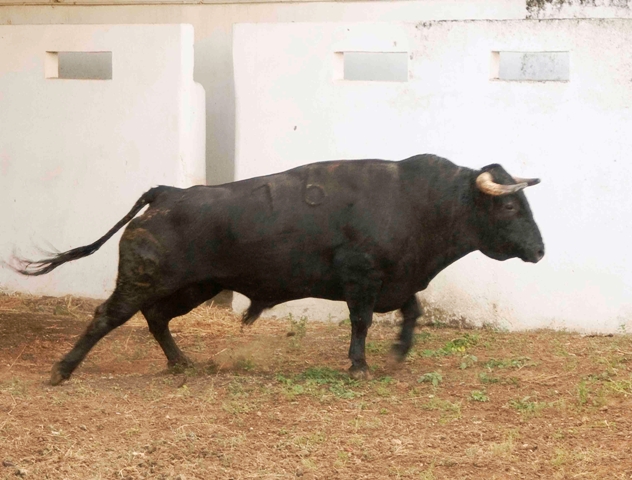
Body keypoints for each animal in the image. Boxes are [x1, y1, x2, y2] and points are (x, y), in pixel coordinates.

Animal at [12, 156, 544, 384]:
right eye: (510, 207)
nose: (539, 251)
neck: (423, 202)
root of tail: (167, 193)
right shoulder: (362, 279)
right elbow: (361, 323)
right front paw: (359, 364)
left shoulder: (397, 281)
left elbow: (411, 312)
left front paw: (398, 352)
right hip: (144, 279)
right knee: (108, 316)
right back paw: (61, 371)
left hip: (195, 285)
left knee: (157, 318)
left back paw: (182, 363)